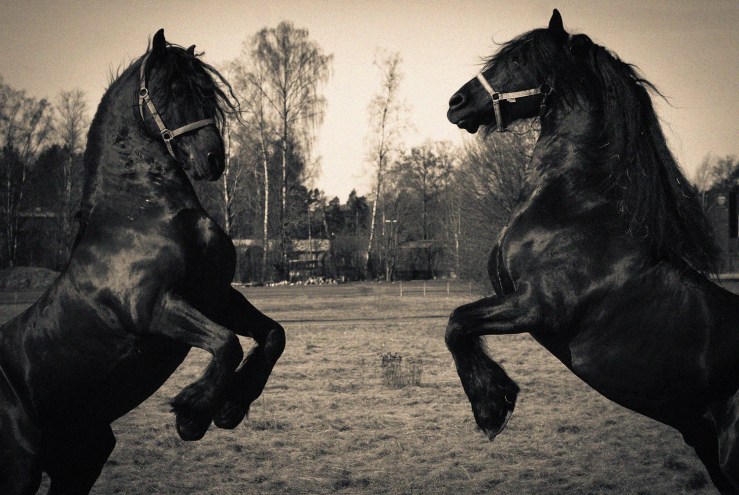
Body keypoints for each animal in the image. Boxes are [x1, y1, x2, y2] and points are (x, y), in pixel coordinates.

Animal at [0, 30, 285, 494]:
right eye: (174, 90)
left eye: (210, 93)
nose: (213, 159)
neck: (142, 213)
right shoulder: (154, 308)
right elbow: (227, 343)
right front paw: (192, 414)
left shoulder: (218, 297)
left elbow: (273, 336)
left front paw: (229, 409)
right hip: (20, 470)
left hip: (81, 461)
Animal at [445, 10, 738, 494]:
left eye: (520, 59)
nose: (456, 102)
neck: (573, 208)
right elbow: (458, 324)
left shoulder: (537, 307)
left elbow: (456, 323)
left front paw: (492, 407)